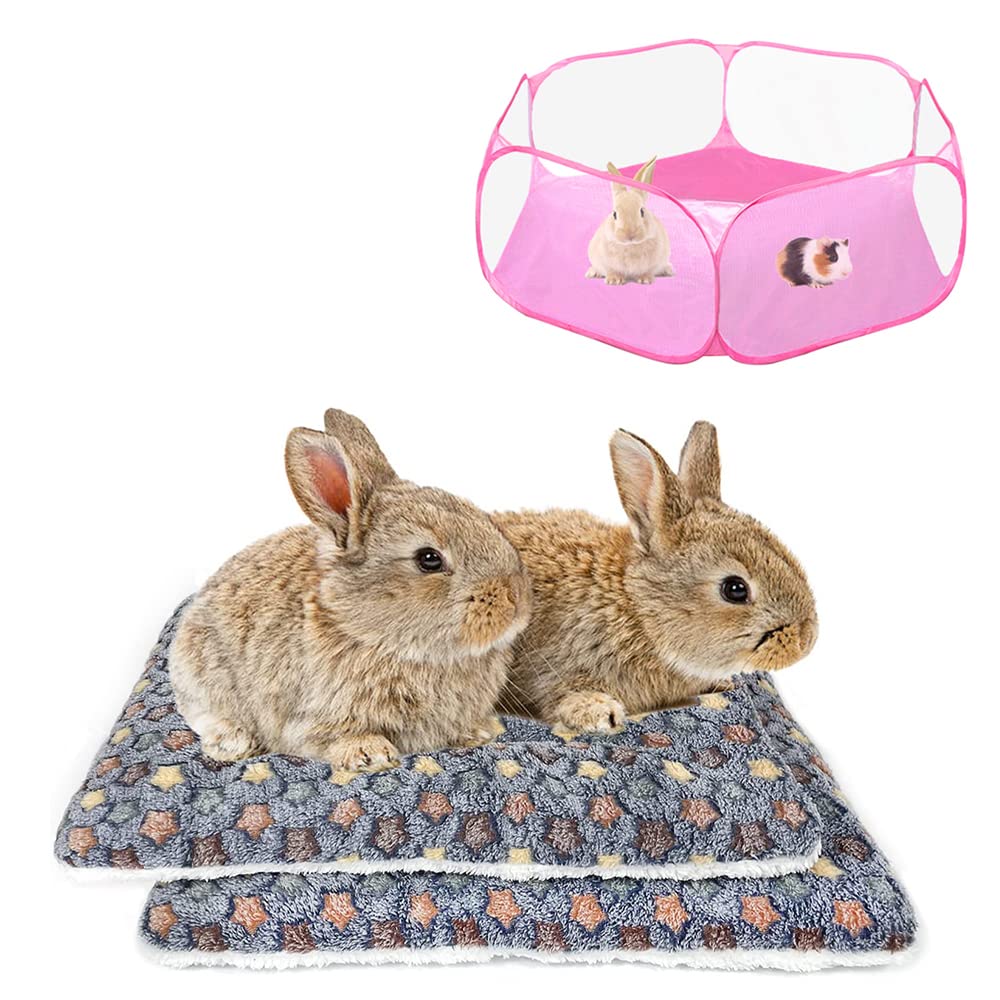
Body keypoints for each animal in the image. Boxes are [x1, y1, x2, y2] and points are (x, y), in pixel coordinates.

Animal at [169, 409, 532, 772]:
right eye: (429, 559)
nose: (516, 599)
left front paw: (480, 731)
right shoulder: (312, 716)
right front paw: (369, 754)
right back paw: (230, 743)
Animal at [585, 156, 674, 285]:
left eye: (642, 211)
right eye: (614, 214)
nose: (630, 234)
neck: (630, 245)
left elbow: (647, 271)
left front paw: (645, 280)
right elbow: (611, 270)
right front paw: (614, 280)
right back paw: (592, 273)